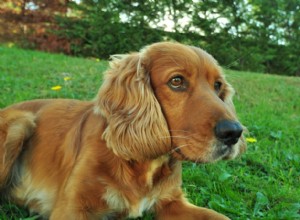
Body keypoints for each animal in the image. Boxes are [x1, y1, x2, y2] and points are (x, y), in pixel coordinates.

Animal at [0, 42, 245, 219]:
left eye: (218, 85)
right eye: (177, 81)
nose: (234, 132)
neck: (143, 163)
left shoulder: (171, 201)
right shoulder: (72, 208)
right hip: (20, 123)